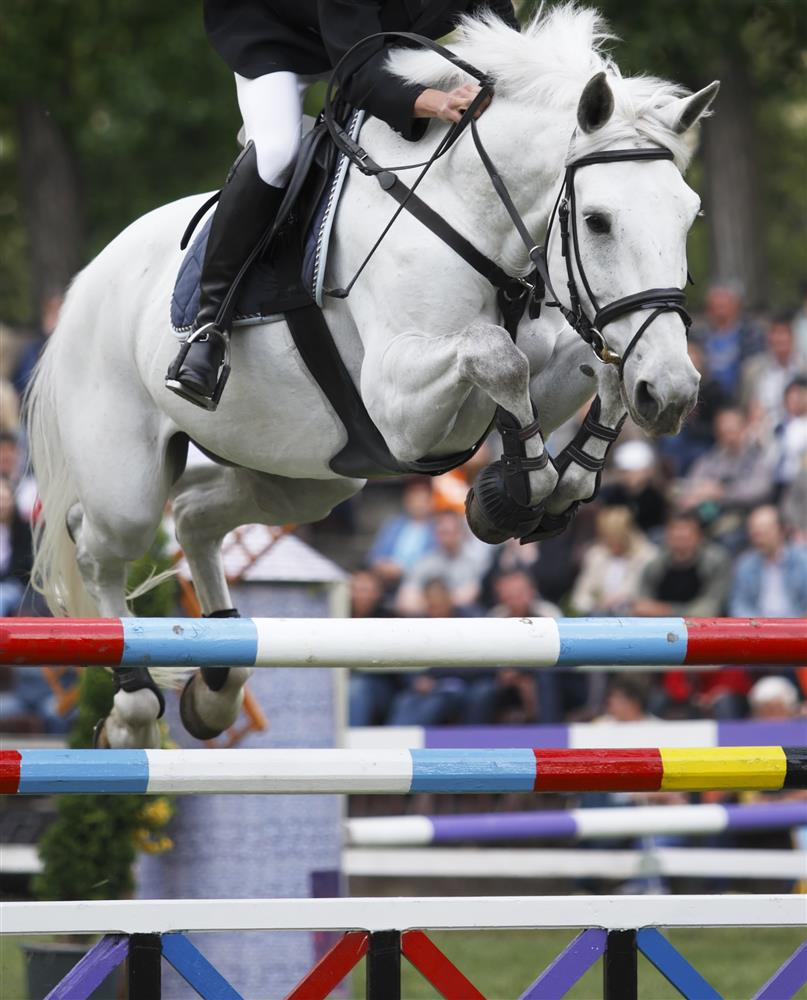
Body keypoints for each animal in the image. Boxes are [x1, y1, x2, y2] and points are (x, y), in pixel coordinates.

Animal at [25, 6, 718, 749]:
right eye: (596, 221)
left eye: (689, 217)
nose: (673, 394)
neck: (474, 215)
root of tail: (84, 284)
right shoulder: (397, 401)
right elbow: (496, 354)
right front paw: (517, 492)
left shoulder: (549, 363)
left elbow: (589, 371)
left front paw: (560, 482)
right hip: (128, 483)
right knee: (99, 550)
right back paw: (131, 707)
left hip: (312, 475)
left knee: (195, 518)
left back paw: (217, 686)